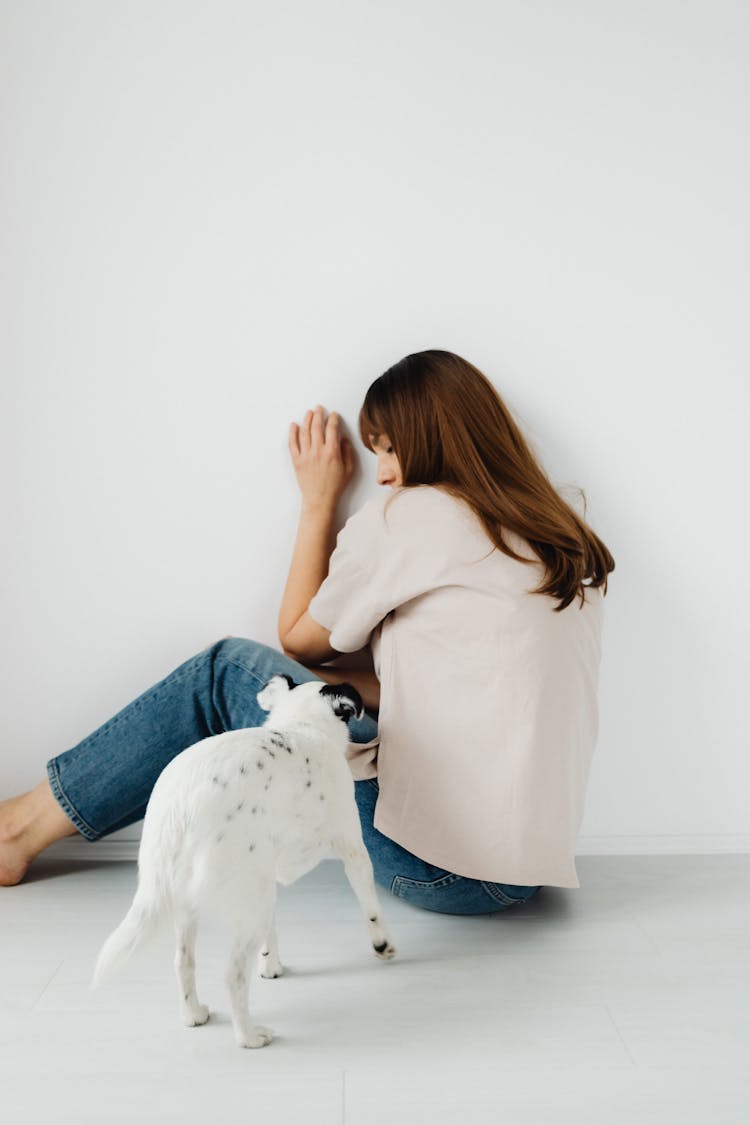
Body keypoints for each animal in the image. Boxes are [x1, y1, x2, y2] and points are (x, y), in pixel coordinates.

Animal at [93, 666, 395, 1044]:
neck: (301, 725)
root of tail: (179, 811)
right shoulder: (354, 850)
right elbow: (371, 909)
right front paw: (382, 944)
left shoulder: (270, 874)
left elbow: (272, 933)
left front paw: (272, 965)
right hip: (249, 901)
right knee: (233, 976)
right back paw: (249, 1036)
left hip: (204, 902)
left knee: (183, 962)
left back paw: (194, 1014)